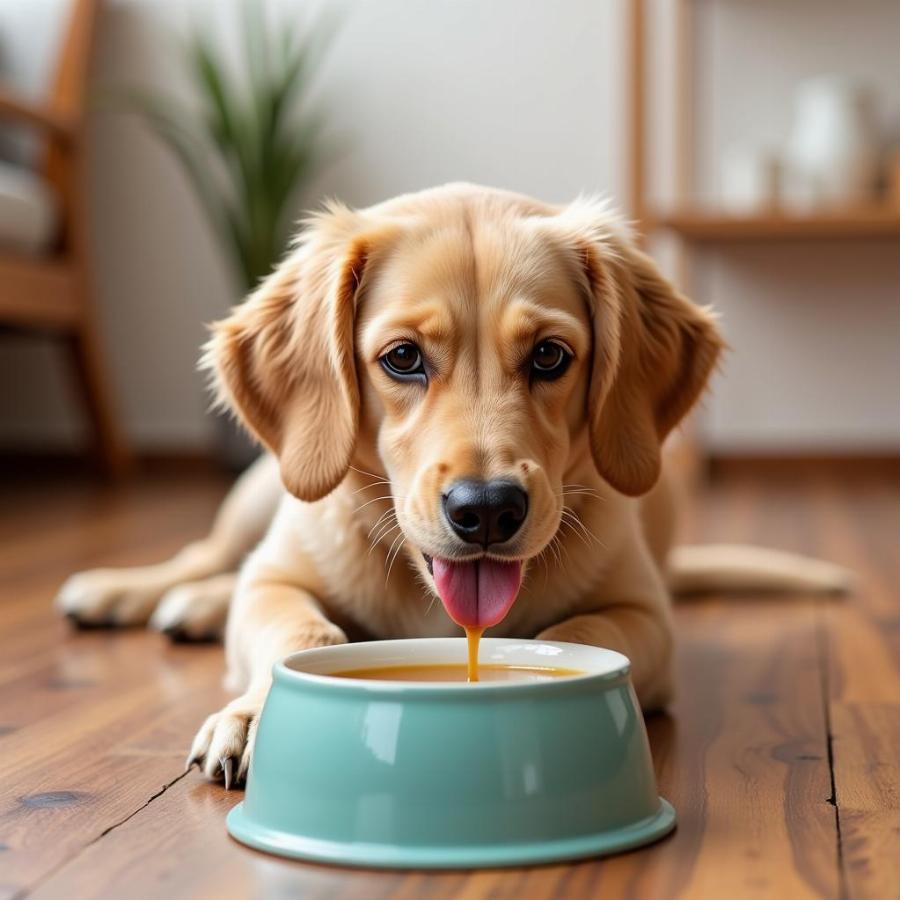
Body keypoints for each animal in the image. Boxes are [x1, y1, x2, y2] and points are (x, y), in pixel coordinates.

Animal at [58, 179, 852, 784]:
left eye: (550, 356)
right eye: (403, 357)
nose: (488, 509)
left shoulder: (645, 616)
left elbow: (582, 630)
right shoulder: (275, 580)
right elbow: (296, 629)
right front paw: (256, 715)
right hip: (260, 493)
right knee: (208, 558)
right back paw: (130, 592)